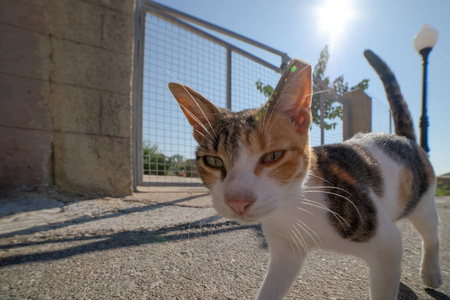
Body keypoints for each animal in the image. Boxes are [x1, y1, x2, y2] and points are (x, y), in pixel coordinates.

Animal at [169, 50, 442, 298]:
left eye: (273, 156)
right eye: (213, 161)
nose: (238, 202)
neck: (296, 207)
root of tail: (404, 138)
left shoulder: (385, 240)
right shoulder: (286, 253)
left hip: (422, 199)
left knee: (430, 232)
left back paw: (431, 272)